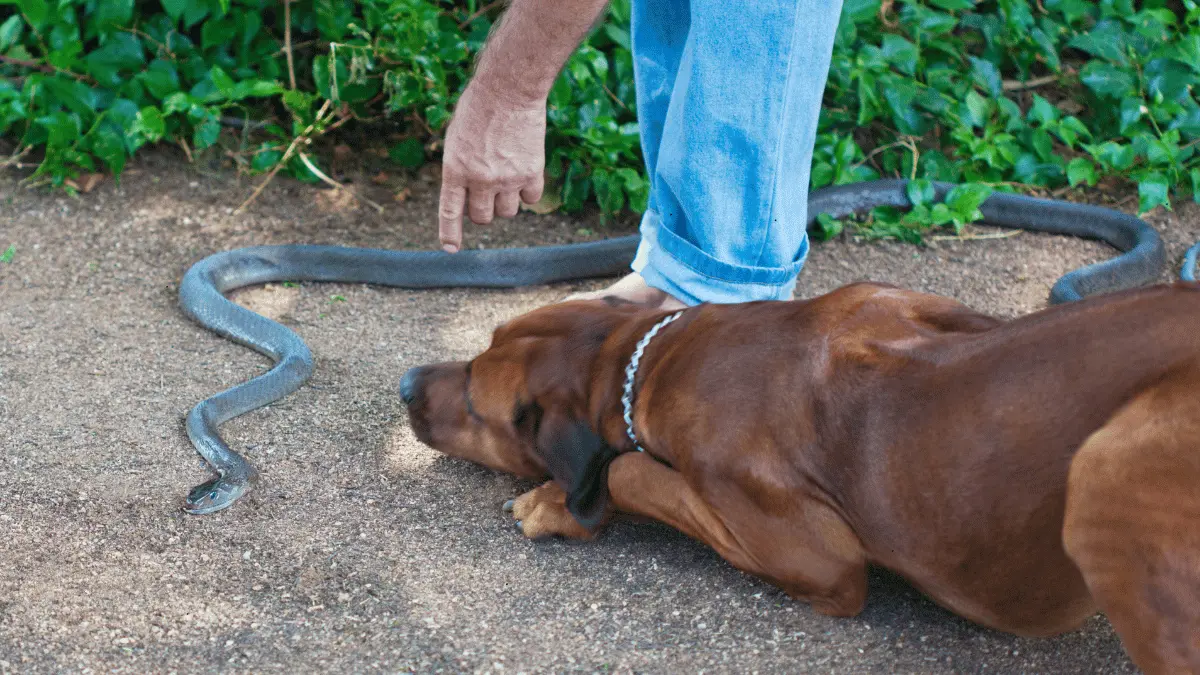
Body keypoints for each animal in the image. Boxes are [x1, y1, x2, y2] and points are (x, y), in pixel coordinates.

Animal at [400, 281, 1200, 667]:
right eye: (484, 340)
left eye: (473, 400)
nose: (406, 381)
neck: (644, 359)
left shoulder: (821, 558)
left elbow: (629, 471)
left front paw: (557, 502)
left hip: (1105, 471)